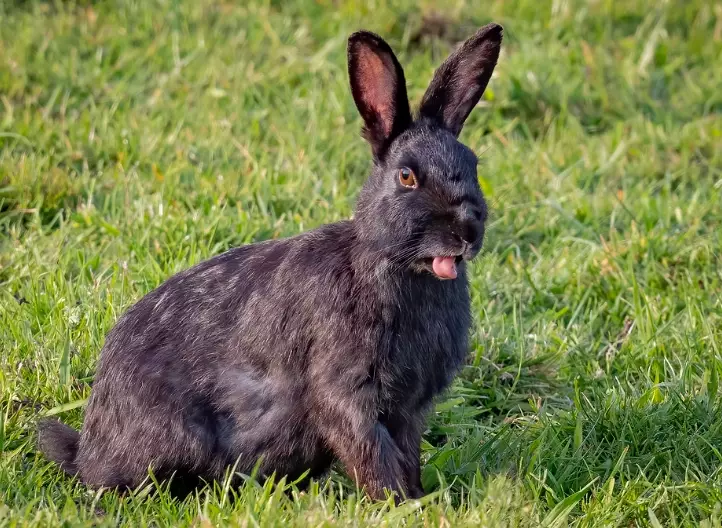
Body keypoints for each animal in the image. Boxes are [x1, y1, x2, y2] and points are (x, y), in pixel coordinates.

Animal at [37, 23, 502, 501]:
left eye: (473, 164)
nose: (467, 231)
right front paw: (396, 502)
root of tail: (88, 453)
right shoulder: (347, 392)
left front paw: (413, 497)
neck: (390, 261)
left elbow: (404, 453)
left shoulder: (408, 409)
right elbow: (370, 449)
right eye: (407, 176)